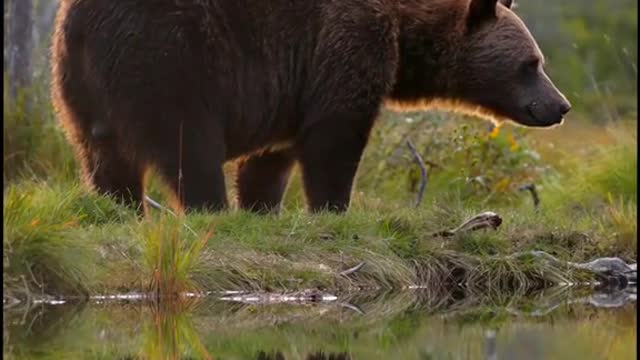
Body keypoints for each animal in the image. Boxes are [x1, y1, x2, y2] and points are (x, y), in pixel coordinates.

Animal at [51, 0, 568, 214]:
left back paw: (119, 205)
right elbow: (334, 138)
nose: (559, 106)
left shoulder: (288, 88)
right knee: (189, 144)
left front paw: (262, 207)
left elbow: (271, 157)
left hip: (79, 85)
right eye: (531, 63)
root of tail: (79, 21)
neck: (406, 34)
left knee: (103, 155)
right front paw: (333, 208)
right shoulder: (345, 45)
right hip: (170, 57)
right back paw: (208, 207)